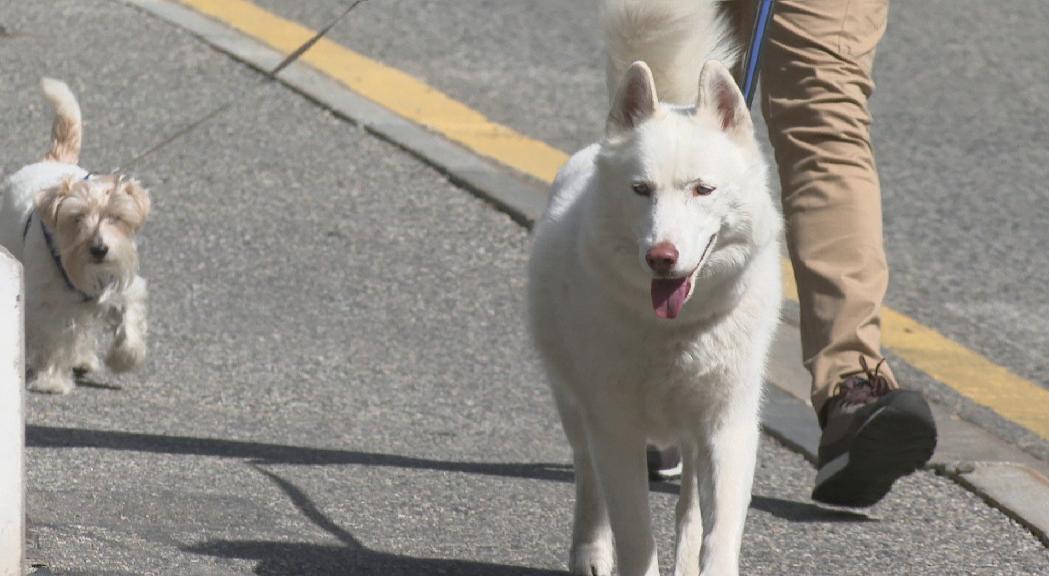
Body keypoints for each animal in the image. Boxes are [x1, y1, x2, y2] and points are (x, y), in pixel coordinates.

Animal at [0, 78, 152, 394]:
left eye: (115, 217)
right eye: (77, 217)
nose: (99, 249)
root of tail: (52, 161)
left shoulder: (120, 285)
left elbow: (128, 318)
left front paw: (126, 357)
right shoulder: (46, 304)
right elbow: (54, 341)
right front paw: (52, 380)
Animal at [528, 2, 784, 570]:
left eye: (703, 189)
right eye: (641, 190)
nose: (661, 257)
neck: (676, 334)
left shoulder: (727, 428)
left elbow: (717, 531)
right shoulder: (614, 429)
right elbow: (635, 535)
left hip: (690, 436)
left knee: (688, 509)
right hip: (573, 403)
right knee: (588, 478)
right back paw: (590, 551)